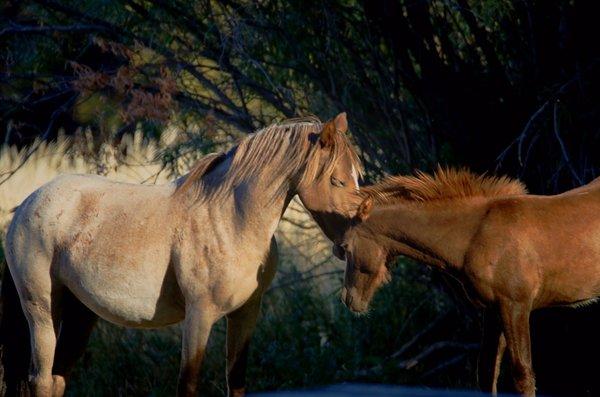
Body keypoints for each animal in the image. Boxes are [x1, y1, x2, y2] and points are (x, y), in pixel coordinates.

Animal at [2, 113, 364, 394]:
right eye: (337, 180)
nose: (352, 242)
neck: (231, 218)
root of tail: (26, 204)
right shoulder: (199, 316)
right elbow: (188, 384)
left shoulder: (245, 314)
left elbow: (236, 382)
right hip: (41, 309)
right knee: (41, 379)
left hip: (81, 313)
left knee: (57, 379)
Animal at [338, 168, 600, 396]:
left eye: (345, 247)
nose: (348, 299)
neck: (475, 237)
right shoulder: (493, 311)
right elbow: (486, 374)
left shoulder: (515, 307)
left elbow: (523, 375)